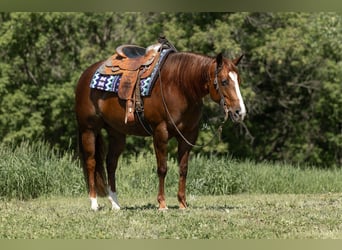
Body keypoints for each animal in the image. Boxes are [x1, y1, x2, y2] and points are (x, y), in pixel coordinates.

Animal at [75, 46, 246, 210]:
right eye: (224, 81)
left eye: (239, 80)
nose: (240, 112)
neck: (179, 87)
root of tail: (86, 75)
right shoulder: (160, 132)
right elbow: (162, 168)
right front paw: (162, 204)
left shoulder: (188, 135)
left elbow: (183, 169)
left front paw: (182, 204)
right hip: (89, 130)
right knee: (91, 162)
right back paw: (94, 203)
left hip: (117, 134)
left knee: (111, 164)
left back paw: (115, 204)